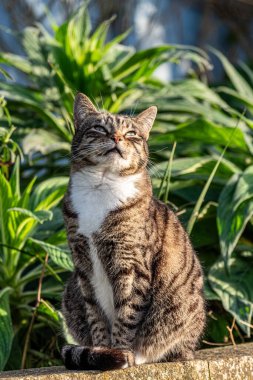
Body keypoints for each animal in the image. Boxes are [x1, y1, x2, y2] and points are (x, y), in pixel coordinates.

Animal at [61, 93, 206, 372]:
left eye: (131, 133)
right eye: (99, 128)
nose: (117, 137)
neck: (101, 186)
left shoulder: (131, 263)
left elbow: (126, 314)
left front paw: (120, 352)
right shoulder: (83, 265)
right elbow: (96, 315)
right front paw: (100, 350)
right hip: (70, 290)